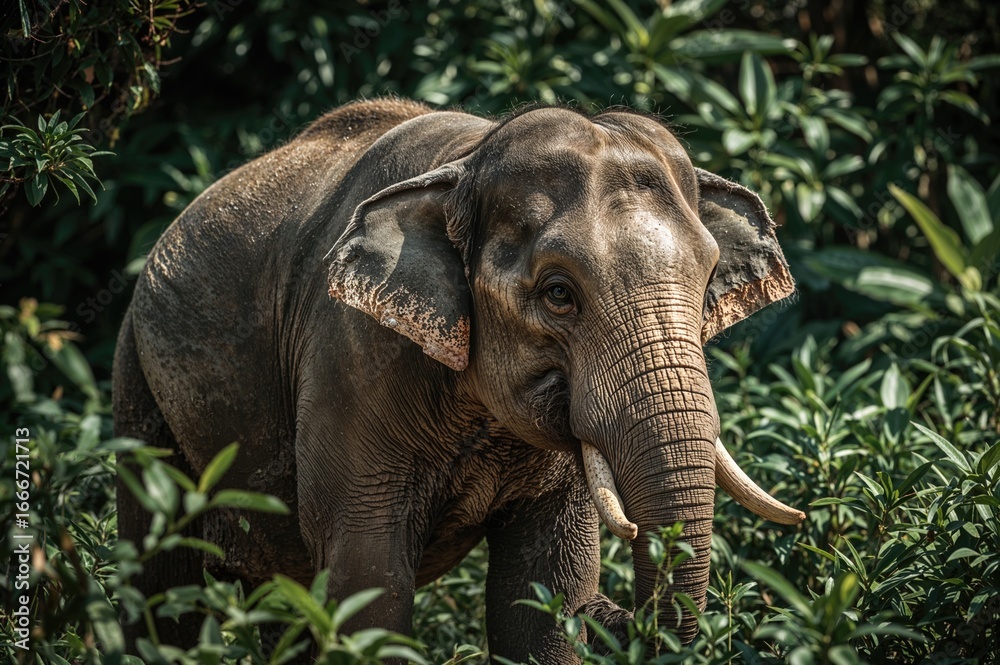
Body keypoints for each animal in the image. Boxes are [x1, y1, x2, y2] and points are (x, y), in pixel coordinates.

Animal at [112, 98, 805, 661]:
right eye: (559, 294)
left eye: (706, 275)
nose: (612, 614)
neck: (466, 162)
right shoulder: (351, 354)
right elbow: (367, 581)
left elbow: (541, 594)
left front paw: (562, 607)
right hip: (138, 379)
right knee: (161, 586)